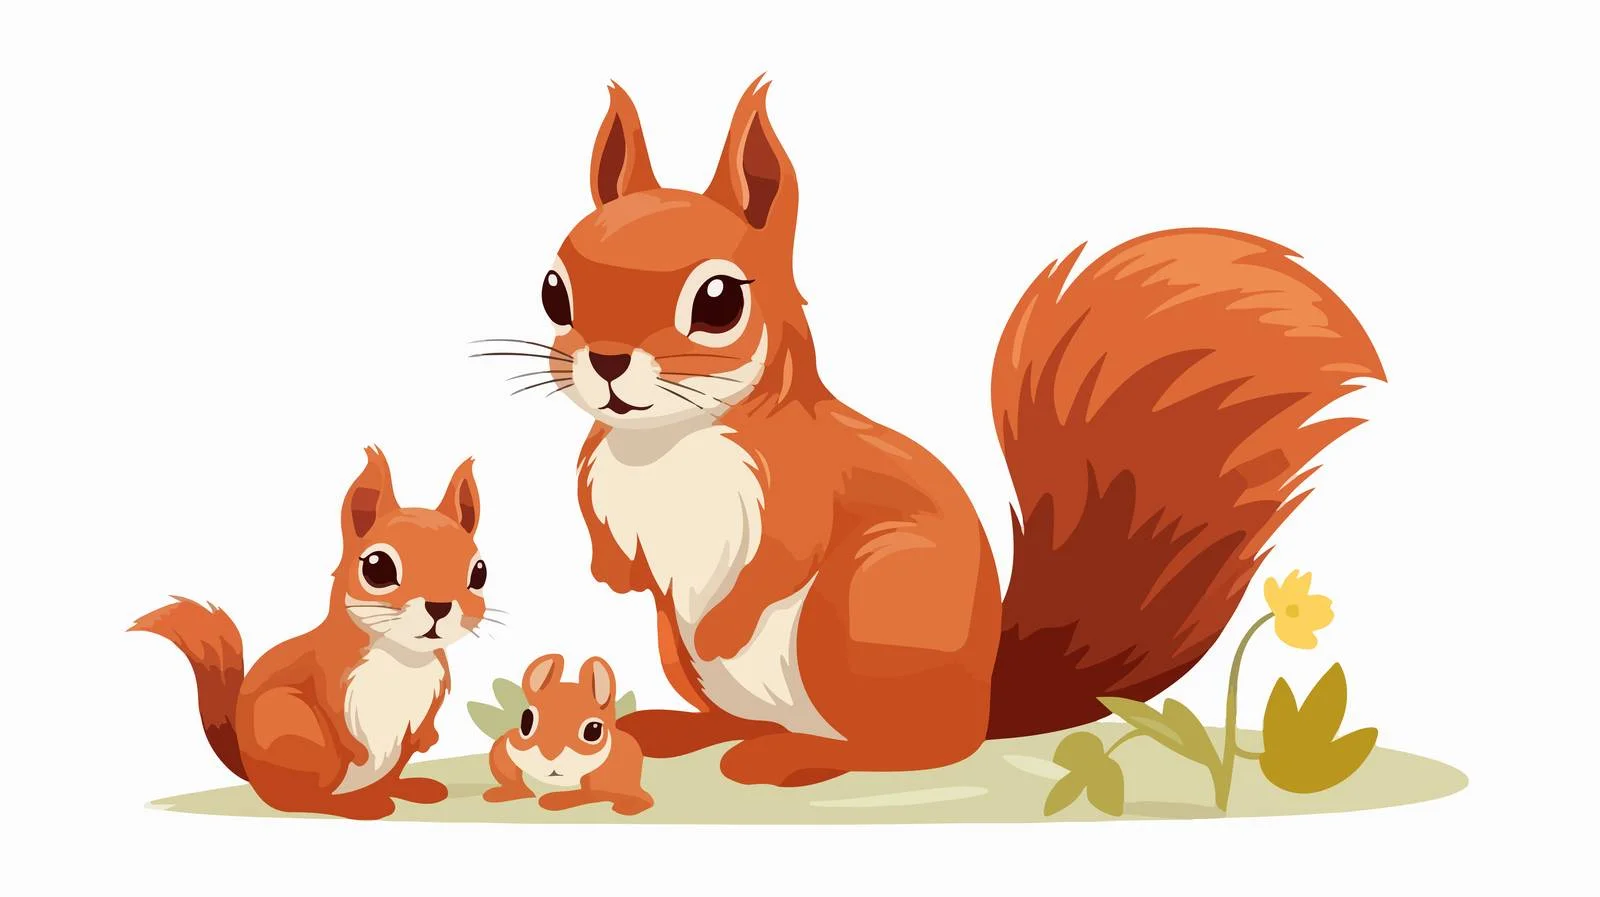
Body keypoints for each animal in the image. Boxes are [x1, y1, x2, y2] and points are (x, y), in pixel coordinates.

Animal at [131, 447, 489, 819]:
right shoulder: (331, 672)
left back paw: (408, 789)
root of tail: (251, 772)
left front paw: (428, 738)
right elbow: (335, 714)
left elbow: (426, 720)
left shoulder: (437, 682)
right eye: (377, 568)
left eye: (479, 572)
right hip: (297, 731)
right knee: (301, 800)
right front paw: (357, 751)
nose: (439, 606)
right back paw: (359, 806)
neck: (401, 657)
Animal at [482, 654, 652, 815]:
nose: (550, 755)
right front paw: (508, 793)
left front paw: (554, 800)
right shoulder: (509, 745)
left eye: (593, 730)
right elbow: (508, 773)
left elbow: (592, 794)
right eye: (526, 721)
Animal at [512, 80, 1384, 787]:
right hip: (691, 650)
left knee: (913, 750)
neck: (667, 442)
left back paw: (794, 756)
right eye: (554, 289)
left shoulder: (801, 485)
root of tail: (985, 703)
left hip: (861, 609)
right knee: (747, 714)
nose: (608, 362)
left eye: (719, 300)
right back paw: (683, 729)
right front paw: (615, 573)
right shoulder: (595, 475)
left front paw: (726, 617)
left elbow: (784, 553)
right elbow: (604, 532)